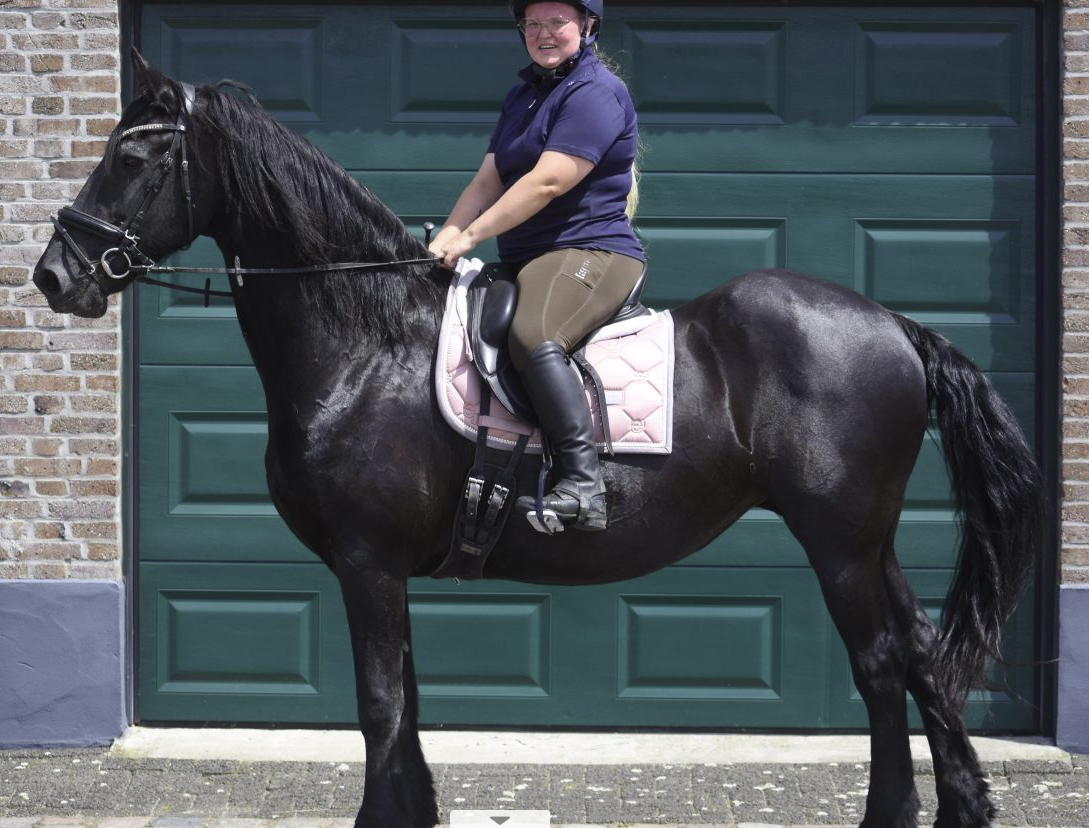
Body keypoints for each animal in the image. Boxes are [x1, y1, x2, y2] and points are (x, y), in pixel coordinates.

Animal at [33, 51, 1044, 828]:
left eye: (136, 151)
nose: (55, 275)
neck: (367, 340)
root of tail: (892, 325)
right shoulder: (386, 569)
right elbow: (405, 700)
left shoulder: (365, 561)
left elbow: (378, 703)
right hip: (868, 540)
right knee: (920, 653)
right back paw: (962, 805)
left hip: (837, 538)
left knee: (878, 666)